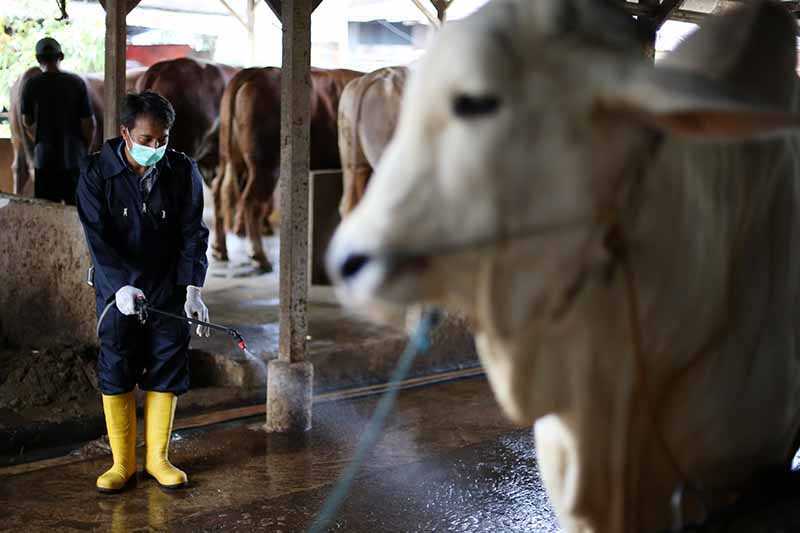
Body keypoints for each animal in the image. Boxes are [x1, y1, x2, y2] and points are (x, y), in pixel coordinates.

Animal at [212, 67, 362, 272]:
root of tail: (254, 72)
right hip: (266, 164)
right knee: (252, 202)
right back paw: (259, 257)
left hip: (229, 156)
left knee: (218, 191)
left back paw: (219, 249)